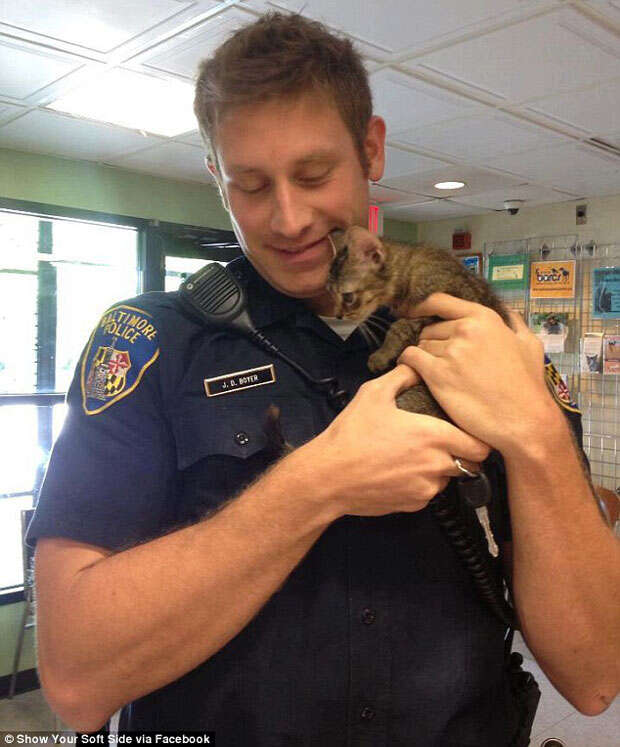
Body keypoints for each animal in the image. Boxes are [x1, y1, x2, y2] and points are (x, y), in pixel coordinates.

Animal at [326, 225, 512, 418]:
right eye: (330, 293)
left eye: (347, 297)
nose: (337, 315)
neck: (409, 270)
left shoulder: (444, 301)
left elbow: (399, 326)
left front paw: (380, 355)